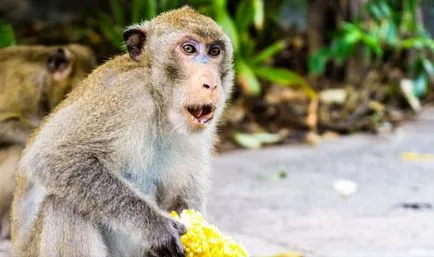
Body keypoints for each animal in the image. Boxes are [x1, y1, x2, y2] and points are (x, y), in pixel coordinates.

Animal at [11, 5, 234, 256]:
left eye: (215, 51)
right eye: (188, 49)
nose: (211, 84)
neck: (158, 99)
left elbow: (183, 198)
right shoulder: (125, 95)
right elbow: (52, 155)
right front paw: (157, 227)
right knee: (62, 204)